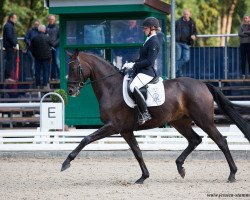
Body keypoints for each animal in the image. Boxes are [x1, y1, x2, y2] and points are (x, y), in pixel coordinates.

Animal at [62, 50, 250, 184]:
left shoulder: (113, 126)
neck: (111, 88)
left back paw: (232, 174)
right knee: (195, 140)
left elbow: (86, 138)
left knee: (220, 140)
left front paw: (66, 163)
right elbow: (137, 152)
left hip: (204, 120)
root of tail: (203, 84)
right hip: (180, 122)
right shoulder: (125, 130)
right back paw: (180, 167)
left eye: (74, 68)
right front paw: (143, 177)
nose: (70, 91)